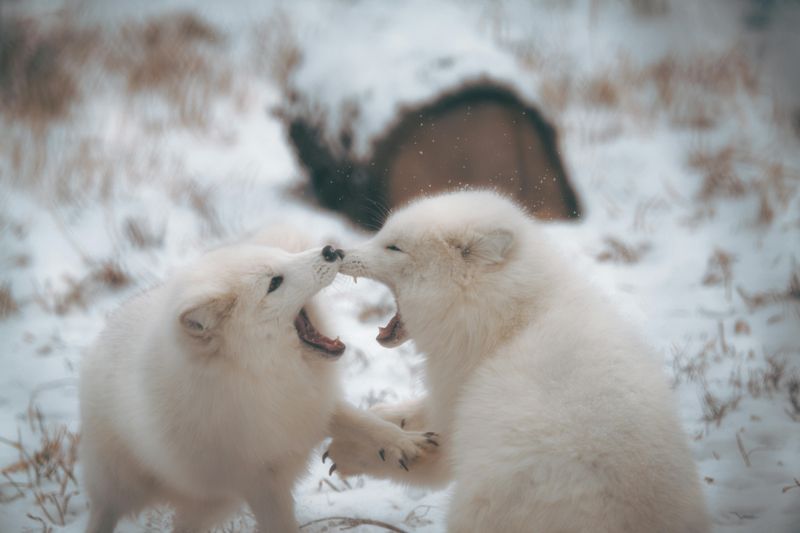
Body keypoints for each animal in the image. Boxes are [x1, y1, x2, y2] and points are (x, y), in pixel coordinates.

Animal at [326, 190, 710, 533]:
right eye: (381, 235)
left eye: (393, 247)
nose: (339, 251)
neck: (512, 321)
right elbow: (407, 415)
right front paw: (375, 421)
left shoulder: (456, 409)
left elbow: (427, 459)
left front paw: (355, 449)